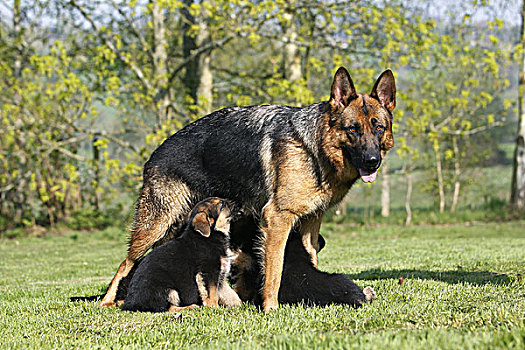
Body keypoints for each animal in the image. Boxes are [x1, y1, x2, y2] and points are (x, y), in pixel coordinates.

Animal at [98, 67, 396, 314]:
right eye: (353, 130)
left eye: (379, 128)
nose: (372, 161)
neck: (314, 147)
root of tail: (155, 153)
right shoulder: (277, 219)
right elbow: (274, 270)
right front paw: (271, 307)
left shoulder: (311, 222)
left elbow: (310, 258)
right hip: (155, 226)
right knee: (126, 263)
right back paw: (109, 301)